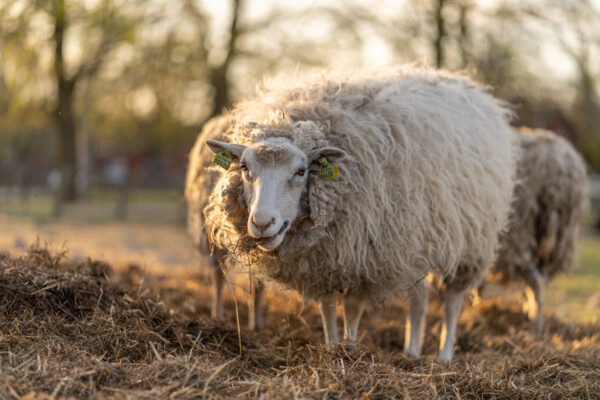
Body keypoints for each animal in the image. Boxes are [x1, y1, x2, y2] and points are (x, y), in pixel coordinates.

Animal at [202, 67, 516, 360]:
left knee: (452, 300)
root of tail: (467, 84)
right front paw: (331, 347)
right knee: (419, 299)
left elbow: (352, 310)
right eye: (245, 167)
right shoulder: (323, 262)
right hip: (415, 240)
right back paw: (412, 352)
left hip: (470, 243)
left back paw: (445, 355)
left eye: (301, 171)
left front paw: (349, 351)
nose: (262, 223)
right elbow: (327, 308)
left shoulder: (365, 258)